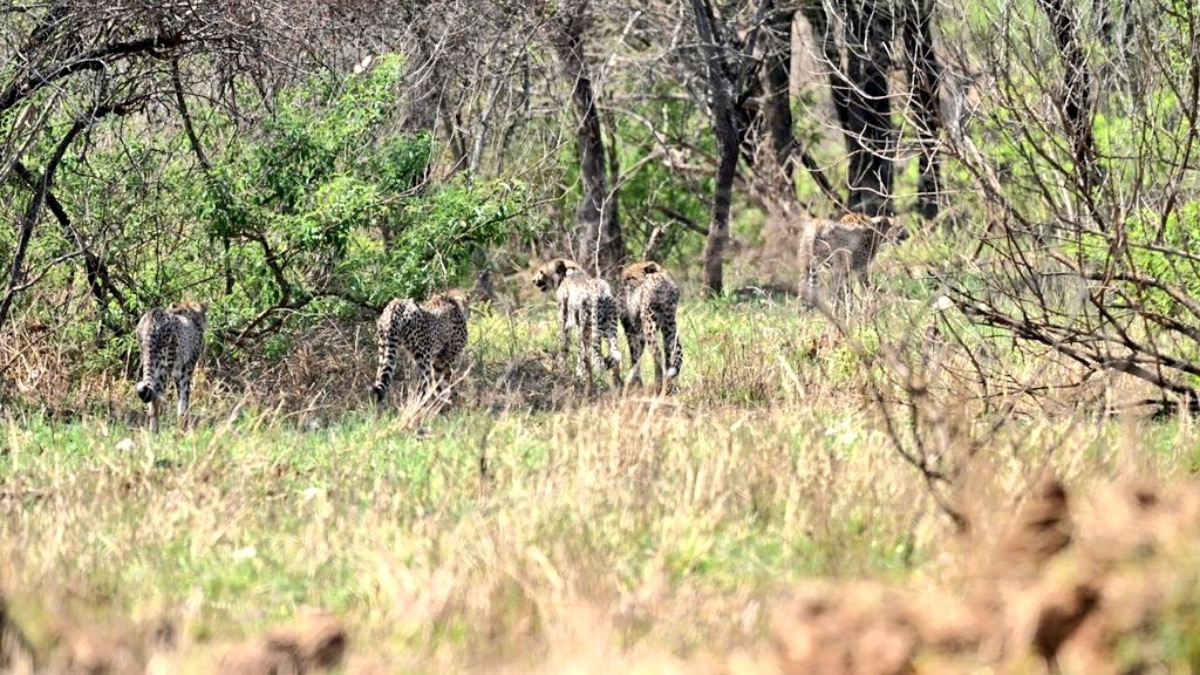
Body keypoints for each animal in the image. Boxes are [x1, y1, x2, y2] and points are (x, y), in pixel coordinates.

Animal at [135, 297, 207, 427]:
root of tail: (154, 314)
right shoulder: (186, 369)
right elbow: (184, 395)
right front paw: (182, 422)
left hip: (149, 360)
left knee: (151, 396)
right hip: (164, 367)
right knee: (156, 396)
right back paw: (156, 430)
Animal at [537, 258, 628, 393]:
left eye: (541, 272)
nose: (534, 280)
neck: (569, 272)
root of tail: (600, 292)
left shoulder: (565, 324)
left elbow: (564, 348)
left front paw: (564, 370)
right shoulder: (588, 332)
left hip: (585, 331)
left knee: (587, 359)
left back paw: (587, 387)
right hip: (609, 330)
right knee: (614, 355)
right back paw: (618, 385)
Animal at [619, 260, 686, 391]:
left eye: (631, 278)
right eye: (625, 278)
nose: (623, 283)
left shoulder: (633, 328)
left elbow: (635, 354)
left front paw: (635, 383)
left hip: (649, 324)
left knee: (657, 352)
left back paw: (659, 383)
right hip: (669, 326)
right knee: (674, 352)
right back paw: (669, 384)